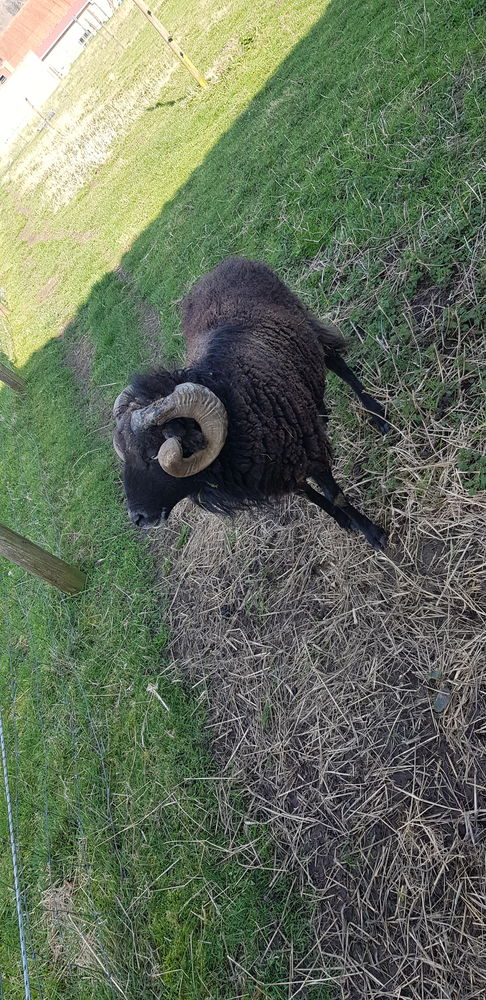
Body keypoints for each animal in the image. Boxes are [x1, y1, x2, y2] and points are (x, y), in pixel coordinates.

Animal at [113, 257, 389, 549]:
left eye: (152, 454)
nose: (138, 518)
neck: (234, 401)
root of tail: (224, 263)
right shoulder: (277, 470)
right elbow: (310, 496)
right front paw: (342, 520)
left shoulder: (310, 453)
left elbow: (335, 495)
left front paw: (372, 533)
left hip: (305, 324)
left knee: (337, 363)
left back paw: (378, 415)